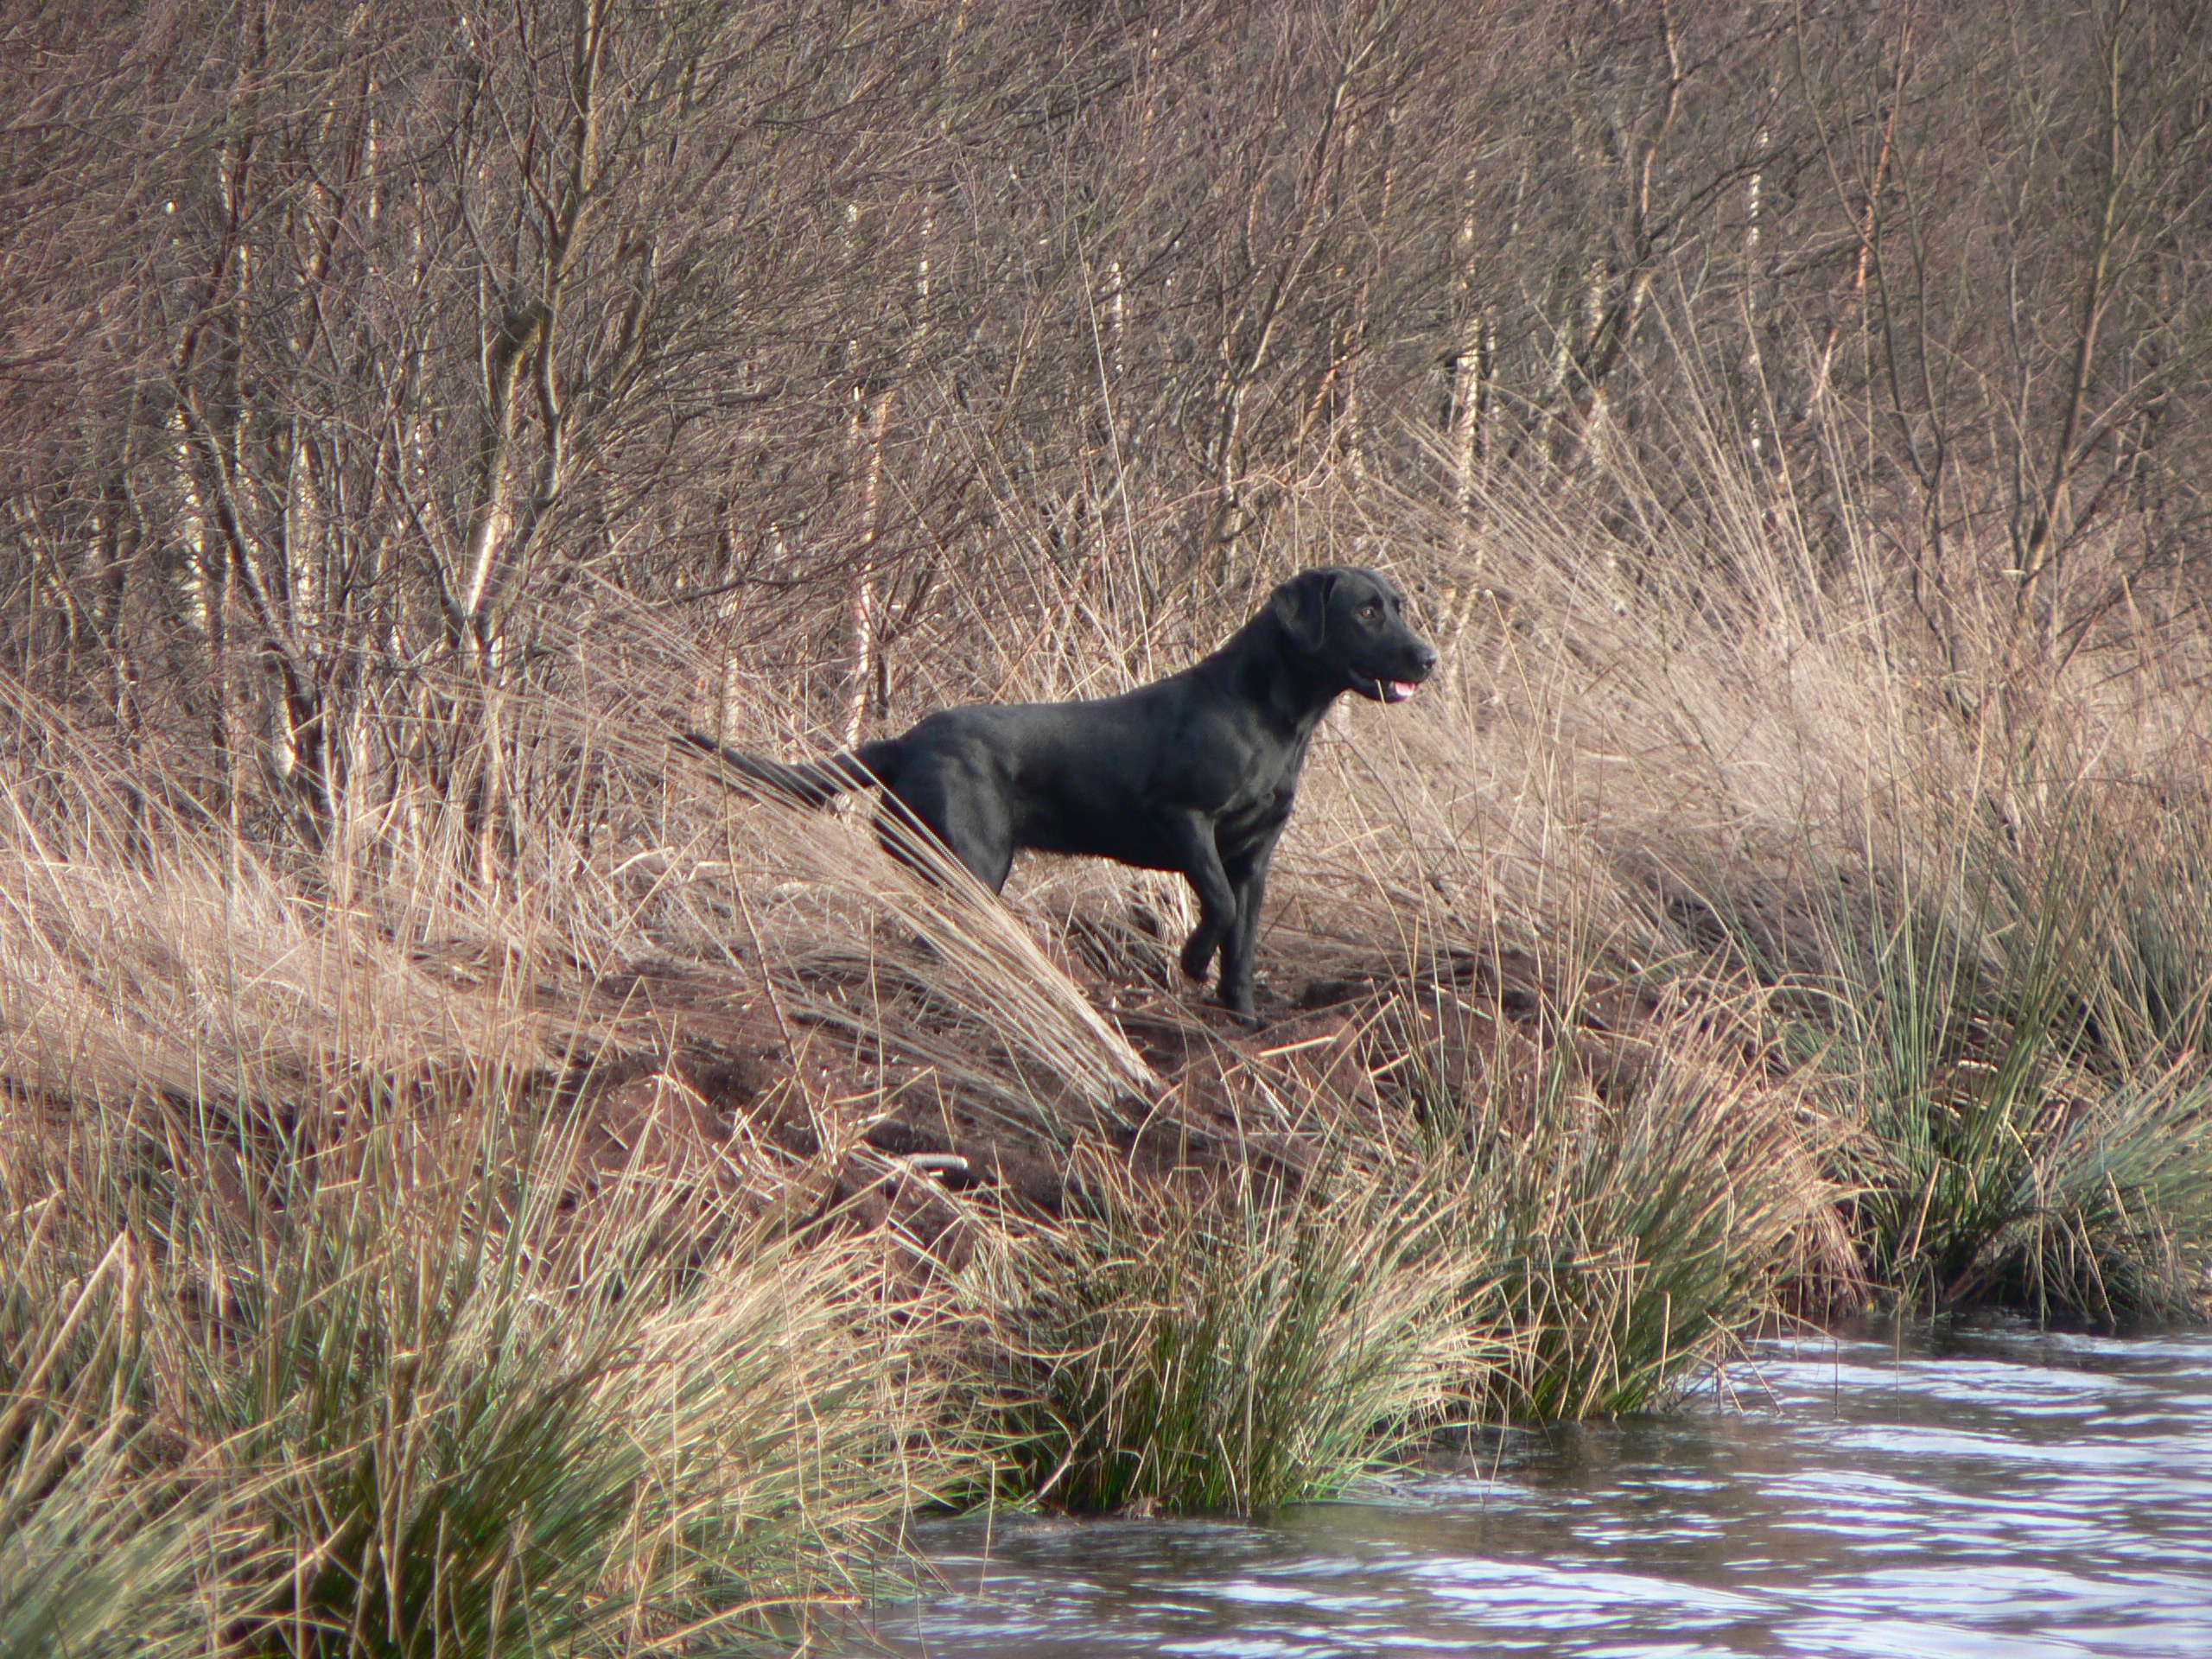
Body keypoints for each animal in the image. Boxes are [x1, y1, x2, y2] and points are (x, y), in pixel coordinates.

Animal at [685, 566, 1433, 1021]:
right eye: (1367, 611)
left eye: (1400, 606)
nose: (1428, 656)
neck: (1275, 718)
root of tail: (906, 741)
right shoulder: (1182, 815)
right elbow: (1218, 907)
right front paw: (1191, 961)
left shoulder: (1257, 851)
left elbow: (1244, 939)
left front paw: (1240, 1014)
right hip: (971, 862)